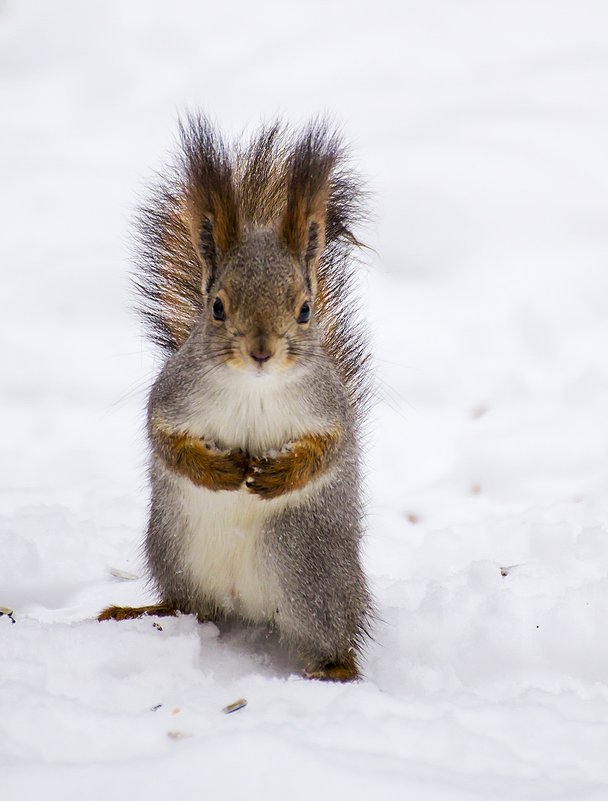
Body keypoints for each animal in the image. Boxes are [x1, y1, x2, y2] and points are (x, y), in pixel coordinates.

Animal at [99, 114, 372, 680]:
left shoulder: (329, 408)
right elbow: (166, 442)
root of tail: (244, 602)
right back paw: (140, 612)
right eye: (218, 306)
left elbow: (329, 450)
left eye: (305, 309)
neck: (253, 388)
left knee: (332, 638)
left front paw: (277, 475)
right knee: (190, 606)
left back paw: (336, 671)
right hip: (176, 552)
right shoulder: (173, 396)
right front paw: (219, 471)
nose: (261, 351)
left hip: (315, 576)